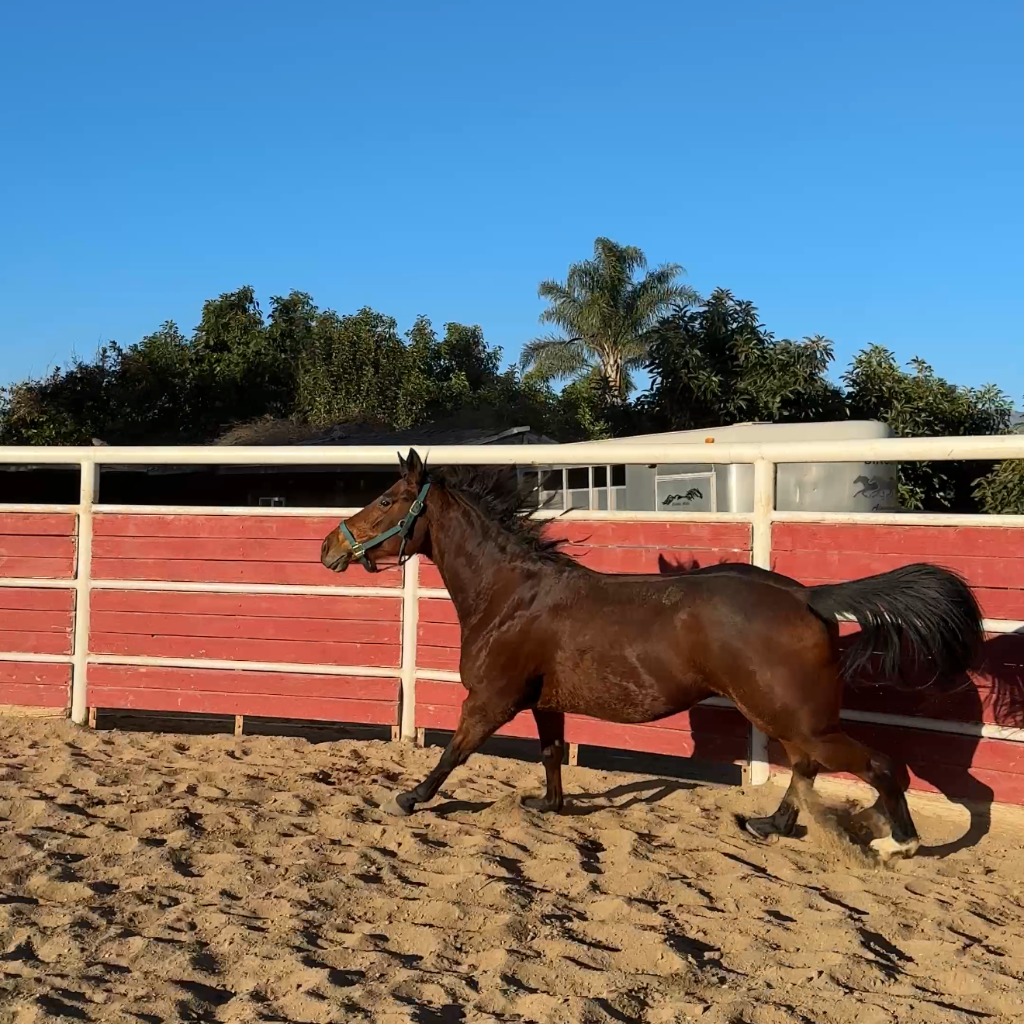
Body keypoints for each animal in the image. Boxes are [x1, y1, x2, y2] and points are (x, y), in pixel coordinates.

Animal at [320, 450, 984, 861]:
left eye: (386, 499)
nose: (329, 547)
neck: (510, 593)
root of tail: (807, 595)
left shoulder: (491, 701)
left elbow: (453, 752)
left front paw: (410, 798)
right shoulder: (543, 702)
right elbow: (552, 754)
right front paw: (548, 804)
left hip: (800, 720)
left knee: (878, 765)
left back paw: (897, 842)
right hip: (791, 721)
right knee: (805, 771)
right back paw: (768, 825)